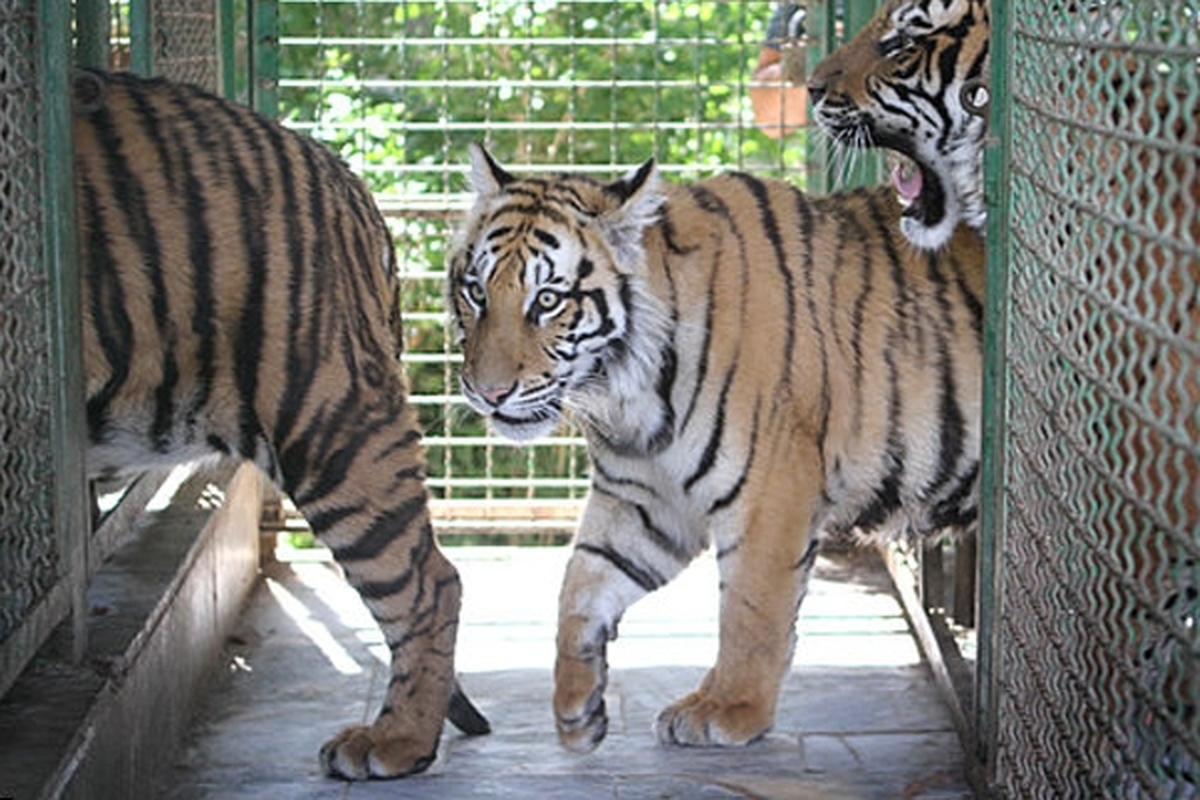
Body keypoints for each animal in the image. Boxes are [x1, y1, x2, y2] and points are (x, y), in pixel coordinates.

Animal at [451, 146, 984, 753]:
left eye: (547, 300)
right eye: (476, 291)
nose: (488, 392)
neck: (628, 394)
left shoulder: (769, 493)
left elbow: (751, 610)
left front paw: (730, 710)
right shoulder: (642, 498)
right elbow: (581, 586)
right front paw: (576, 709)